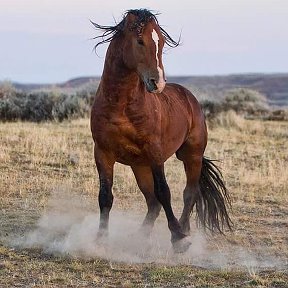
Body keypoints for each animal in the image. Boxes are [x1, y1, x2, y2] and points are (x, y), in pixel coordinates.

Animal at [90, 9, 232, 252]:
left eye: (162, 43)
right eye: (140, 40)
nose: (158, 82)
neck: (121, 106)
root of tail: (189, 97)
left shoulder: (156, 153)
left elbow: (165, 192)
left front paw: (178, 237)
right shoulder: (103, 153)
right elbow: (105, 197)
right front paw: (100, 241)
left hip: (191, 155)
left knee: (189, 194)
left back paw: (183, 231)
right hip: (139, 166)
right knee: (152, 203)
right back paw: (139, 237)